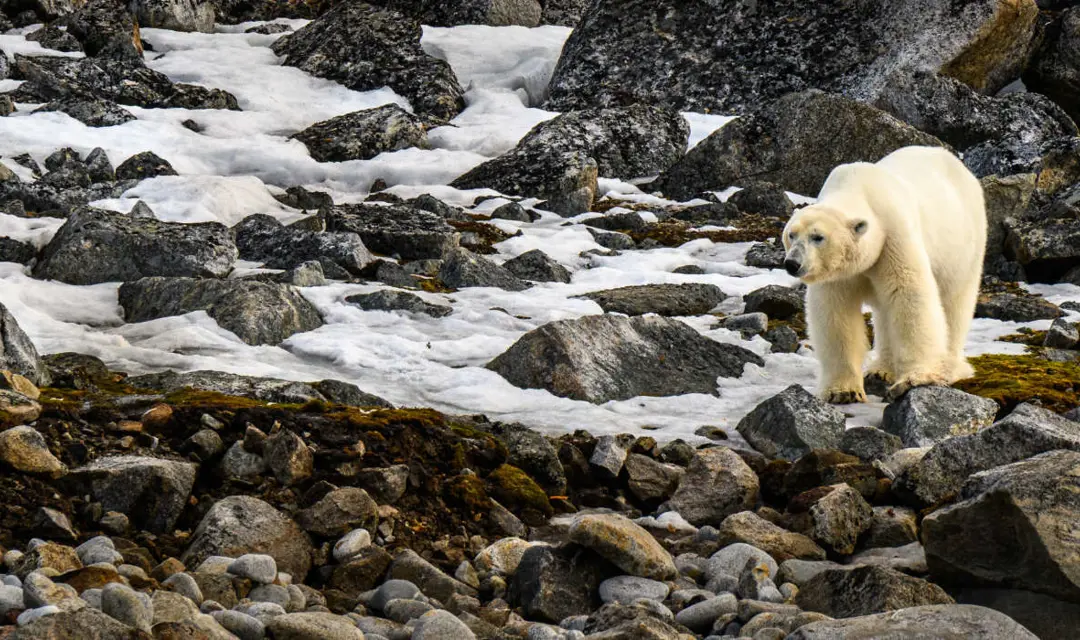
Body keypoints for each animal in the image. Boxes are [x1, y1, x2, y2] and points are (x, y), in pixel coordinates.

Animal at [781, 146, 986, 403]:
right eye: (791, 234)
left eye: (818, 237)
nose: (792, 263)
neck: (858, 187)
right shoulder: (840, 273)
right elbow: (835, 312)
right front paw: (843, 391)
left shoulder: (894, 237)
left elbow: (909, 295)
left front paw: (912, 380)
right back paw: (881, 370)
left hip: (964, 245)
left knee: (954, 305)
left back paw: (948, 367)